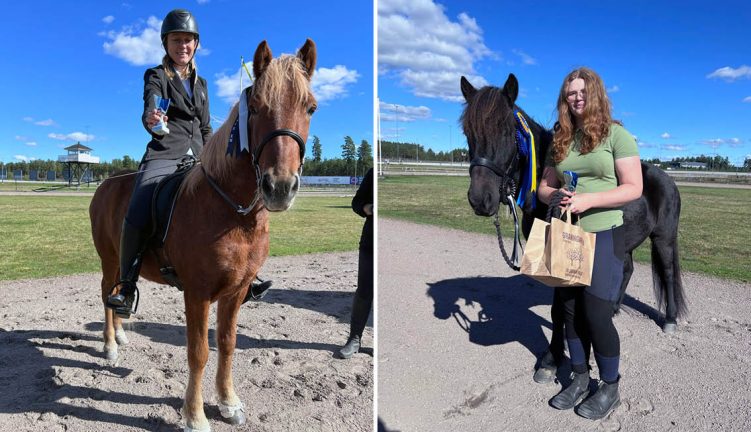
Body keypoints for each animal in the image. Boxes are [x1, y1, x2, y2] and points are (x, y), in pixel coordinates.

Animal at [90, 38, 318, 430]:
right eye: (256, 107)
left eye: (311, 108)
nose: (279, 187)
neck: (233, 213)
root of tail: (106, 182)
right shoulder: (196, 293)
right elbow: (197, 352)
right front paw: (194, 415)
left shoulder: (236, 291)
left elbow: (226, 343)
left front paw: (228, 402)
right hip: (109, 258)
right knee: (107, 293)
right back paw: (110, 345)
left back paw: (120, 332)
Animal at [458, 73, 688, 334]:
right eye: (468, 132)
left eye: (506, 132)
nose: (480, 199)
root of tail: (667, 180)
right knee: (627, 268)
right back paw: (613, 308)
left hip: (663, 238)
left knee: (668, 272)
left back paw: (669, 320)